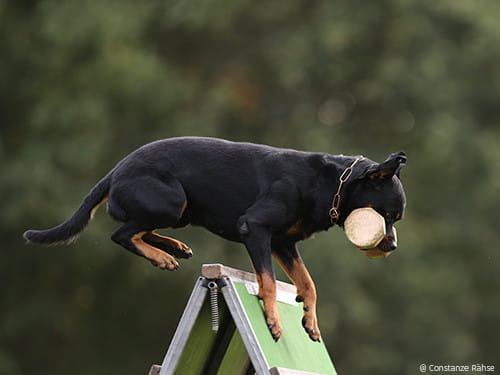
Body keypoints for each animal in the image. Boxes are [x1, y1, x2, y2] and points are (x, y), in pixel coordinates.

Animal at [24, 137, 406, 344]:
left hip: (180, 212)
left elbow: (308, 284)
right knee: (122, 233)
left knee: (137, 230)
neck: (331, 183)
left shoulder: (282, 243)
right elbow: (268, 282)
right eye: (388, 215)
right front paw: (273, 321)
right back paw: (162, 256)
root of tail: (115, 170)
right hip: (172, 201)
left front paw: (310, 321)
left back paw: (173, 249)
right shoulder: (254, 229)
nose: (393, 247)